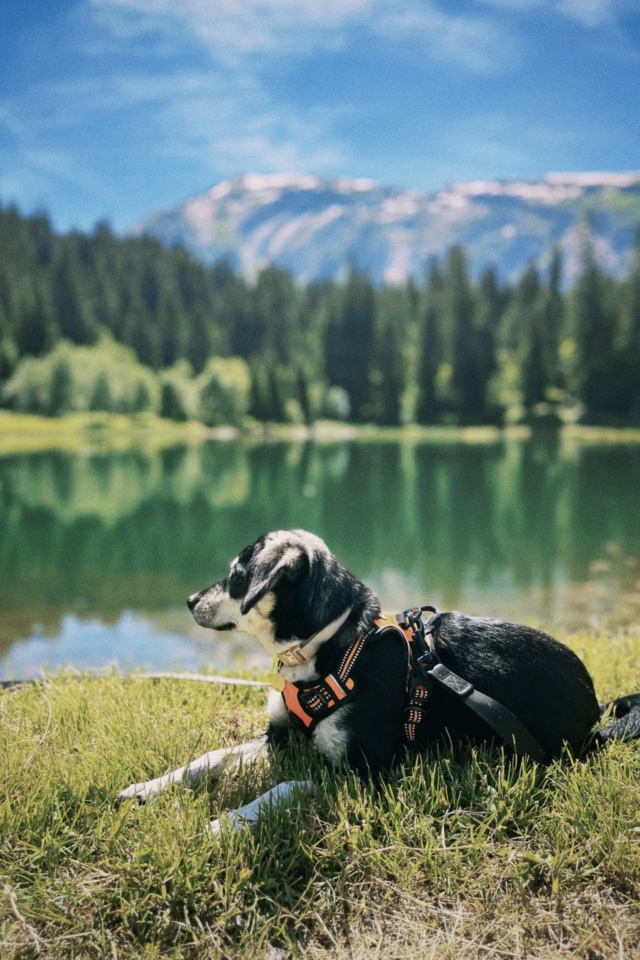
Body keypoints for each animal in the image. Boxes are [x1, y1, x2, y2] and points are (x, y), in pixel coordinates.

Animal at [119, 528, 640, 828]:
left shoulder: (365, 771)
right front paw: (148, 788)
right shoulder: (280, 735)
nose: (189, 600)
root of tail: (593, 709)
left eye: (237, 577)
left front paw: (228, 823)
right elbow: (210, 758)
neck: (330, 647)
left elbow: (286, 786)